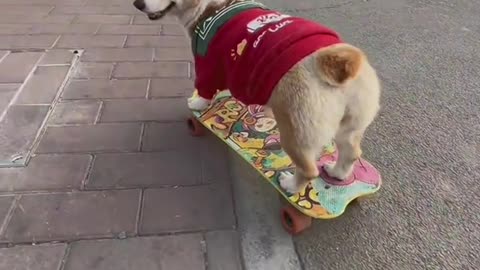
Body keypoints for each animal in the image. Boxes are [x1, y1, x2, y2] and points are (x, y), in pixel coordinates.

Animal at [133, 0, 380, 194]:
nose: (136, 4)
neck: (211, 8)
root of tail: (333, 62)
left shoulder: (207, 66)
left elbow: (204, 91)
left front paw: (197, 104)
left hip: (295, 134)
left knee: (308, 170)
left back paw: (290, 185)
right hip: (350, 127)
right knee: (351, 152)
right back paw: (337, 173)